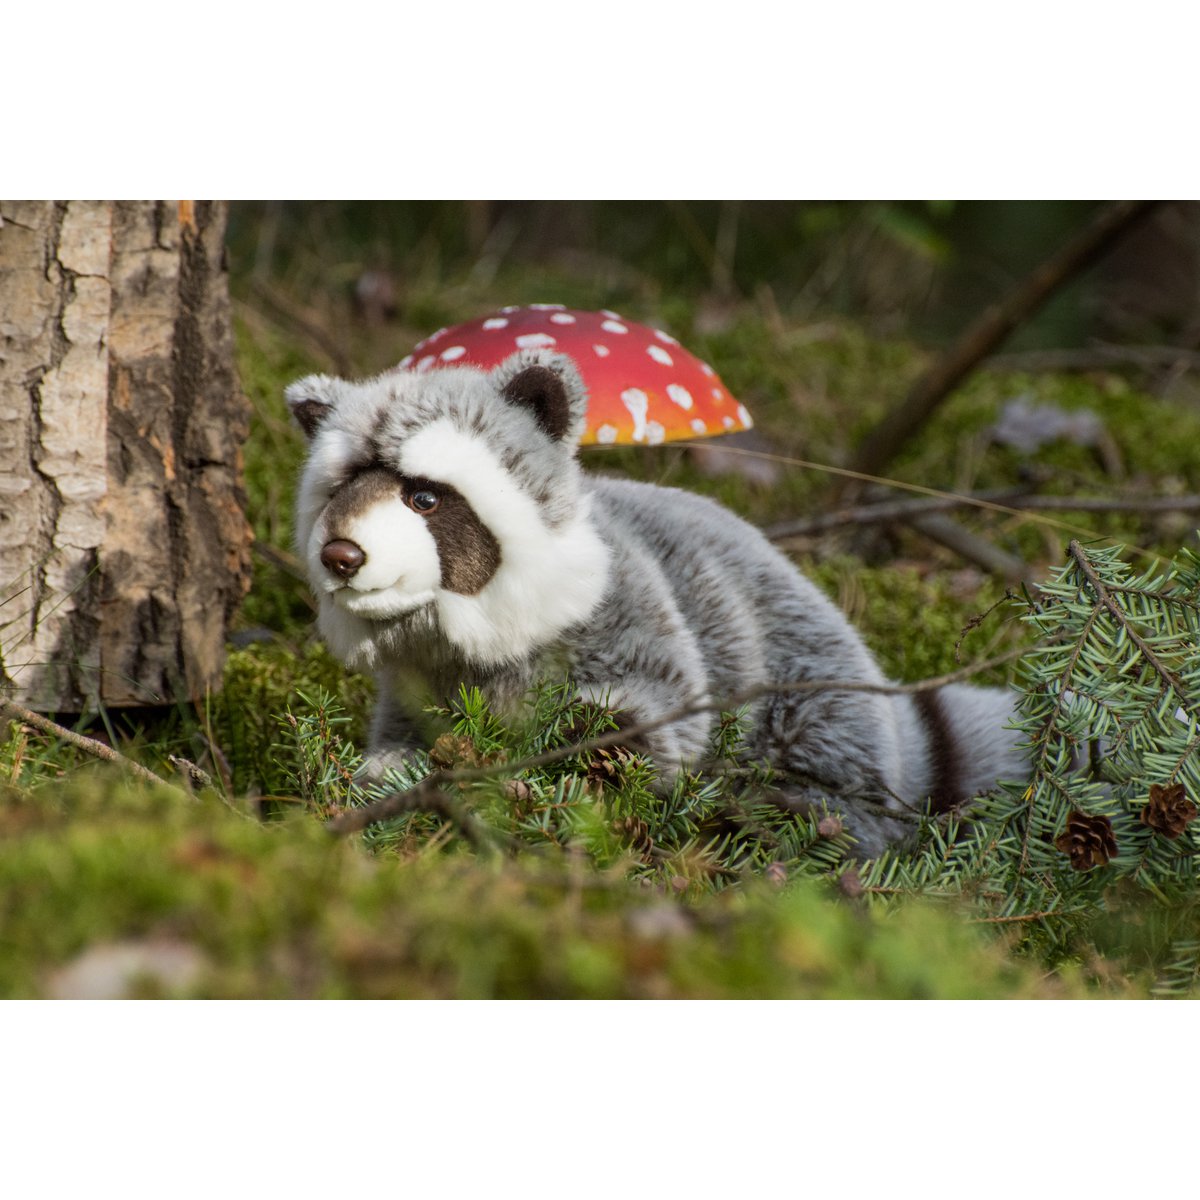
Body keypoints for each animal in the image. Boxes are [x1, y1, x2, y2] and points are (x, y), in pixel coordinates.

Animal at [287, 349, 1025, 855]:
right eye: (342, 490)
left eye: (424, 497)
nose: (340, 556)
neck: (458, 628)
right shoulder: (418, 681)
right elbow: (405, 738)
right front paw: (390, 776)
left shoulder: (627, 610)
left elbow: (661, 722)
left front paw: (590, 753)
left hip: (812, 688)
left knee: (829, 782)